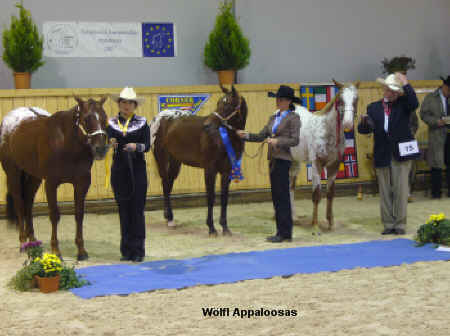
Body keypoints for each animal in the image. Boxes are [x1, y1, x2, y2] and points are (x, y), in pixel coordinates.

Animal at [0, 97, 109, 260]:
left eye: (105, 118)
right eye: (86, 119)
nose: (100, 149)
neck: (66, 144)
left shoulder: (82, 183)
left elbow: (79, 214)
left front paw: (81, 251)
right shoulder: (51, 183)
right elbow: (54, 215)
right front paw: (56, 250)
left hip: (34, 176)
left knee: (28, 202)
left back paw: (32, 241)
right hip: (13, 173)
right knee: (20, 204)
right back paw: (23, 243)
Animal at [149, 85, 248, 235]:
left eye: (228, 104)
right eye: (219, 103)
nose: (207, 125)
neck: (221, 137)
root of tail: (160, 117)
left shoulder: (227, 171)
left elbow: (224, 198)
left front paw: (225, 228)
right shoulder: (210, 170)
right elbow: (211, 197)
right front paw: (212, 228)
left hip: (175, 162)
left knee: (168, 184)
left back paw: (170, 219)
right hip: (161, 158)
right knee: (165, 183)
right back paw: (169, 218)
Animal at [290, 81, 360, 234]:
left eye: (356, 99)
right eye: (340, 100)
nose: (347, 123)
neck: (327, 131)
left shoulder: (334, 165)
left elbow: (330, 194)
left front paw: (331, 223)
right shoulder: (317, 164)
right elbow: (316, 195)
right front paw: (315, 227)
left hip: (295, 161)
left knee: (290, 186)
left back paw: (293, 217)